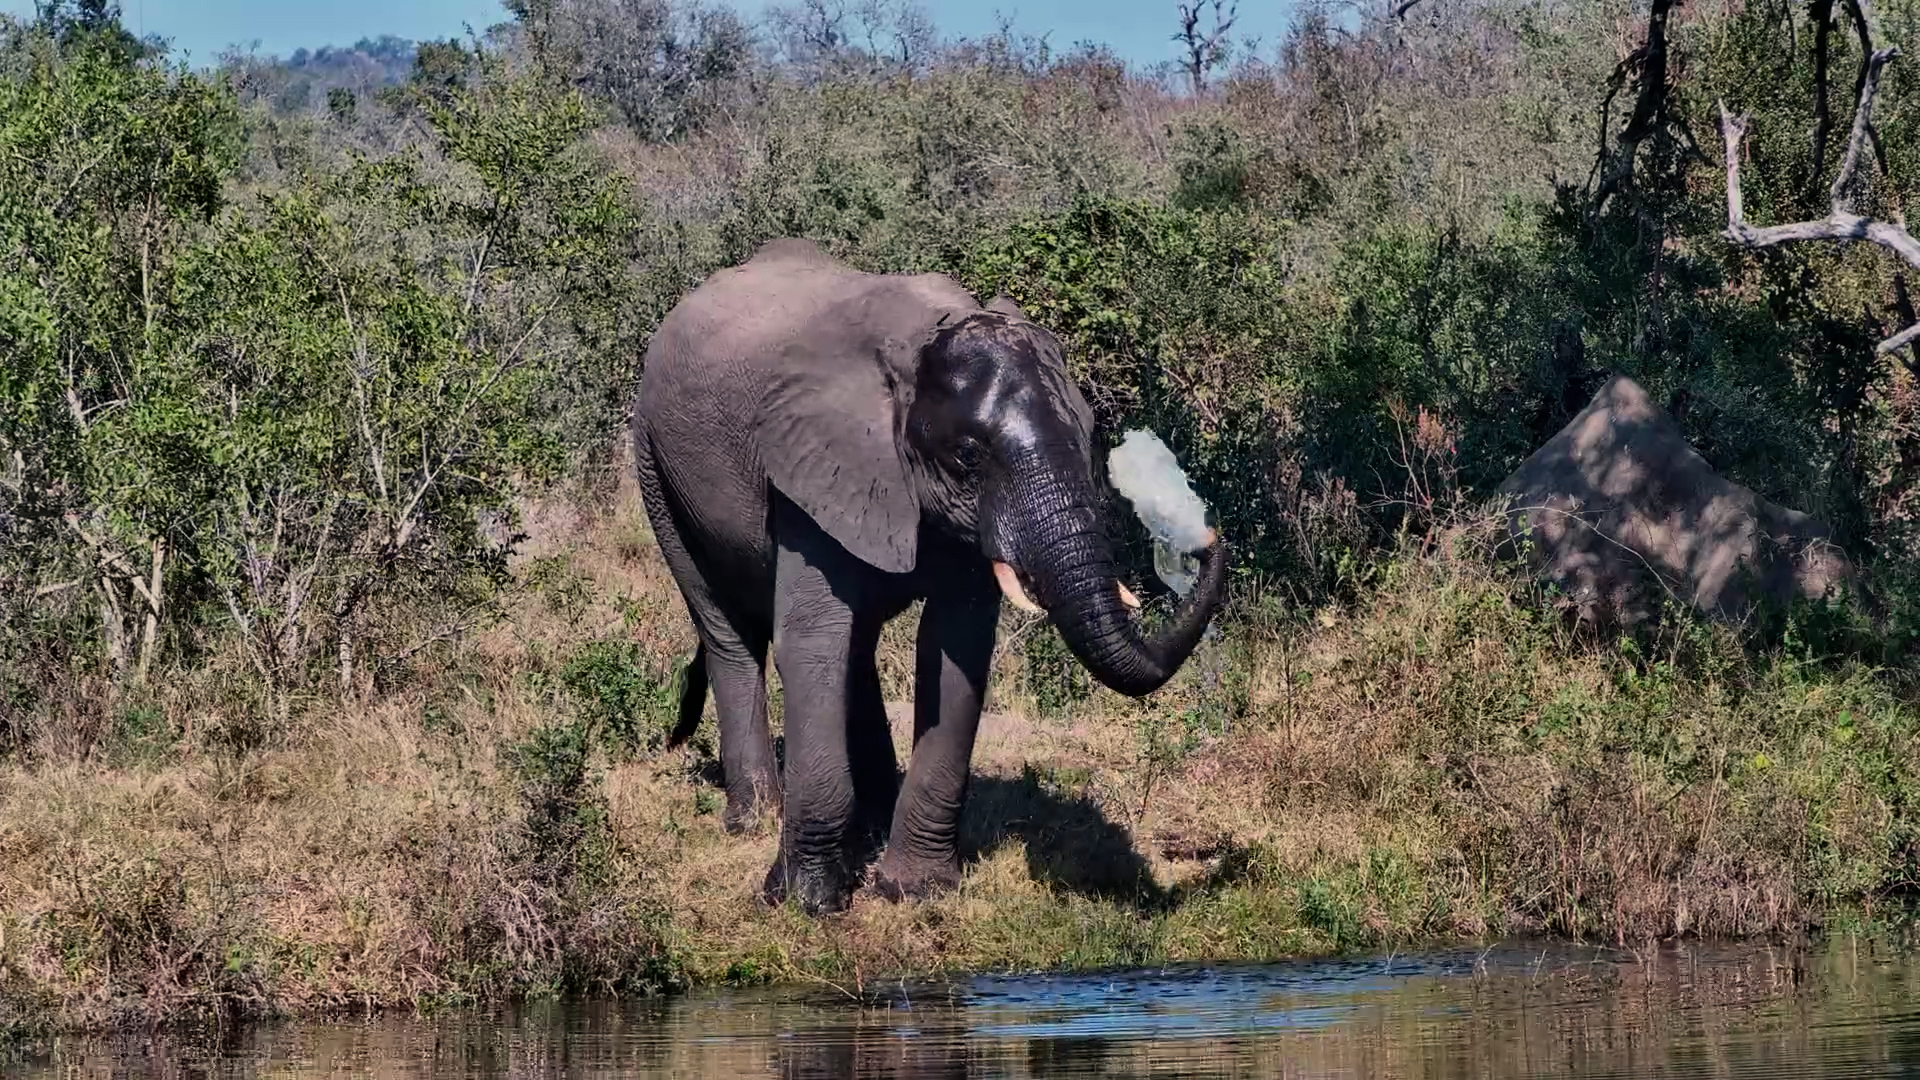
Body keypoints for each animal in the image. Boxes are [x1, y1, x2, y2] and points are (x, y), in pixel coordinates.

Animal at [631, 237, 1228, 915]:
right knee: (726, 630)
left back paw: (869, 823)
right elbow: (811, 644)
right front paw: (806, 903)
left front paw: (913, 892)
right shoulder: (810, 468)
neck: (918, 344)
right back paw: (754, 820)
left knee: (854, 646)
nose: (1204, 535)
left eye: (1089, 436)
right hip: (654, 464)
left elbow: (953, 647)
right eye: (968, 456)